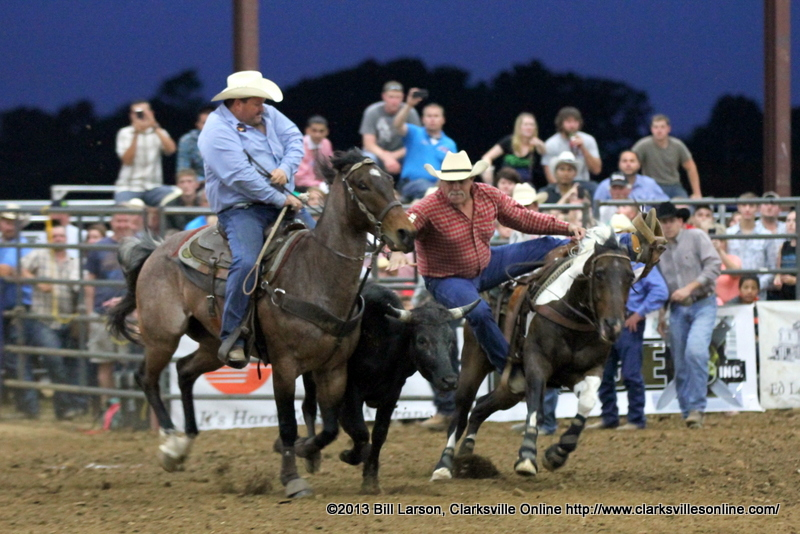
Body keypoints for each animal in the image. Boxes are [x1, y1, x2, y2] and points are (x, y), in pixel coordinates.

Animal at [108, 150, 416, 498]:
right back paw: (171, 445)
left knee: (184, 371)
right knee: (146, 377)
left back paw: (185, 444)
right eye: (363, 185)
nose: (406, 233)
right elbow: (287, 424)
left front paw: (312, 451)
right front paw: (292, 478)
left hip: (215, 345)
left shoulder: (333, 368)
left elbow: (331, 428)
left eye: (390, 180)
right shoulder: (284, 366)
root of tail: (156, 250)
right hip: (163, 335)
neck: (316, 274)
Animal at [434, 226, 660, 482]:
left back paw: (468, 455)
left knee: (481, 407)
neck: (571, 317)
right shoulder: (536, 363)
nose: (613, 326)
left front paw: (558, 453)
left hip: (510, 391)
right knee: (461, 412)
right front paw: (526, 457)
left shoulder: (588, 370)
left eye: (630, 277)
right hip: (473, 363)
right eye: (600, 273)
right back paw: (444, 465)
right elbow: (536, 407)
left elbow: (587, 402)